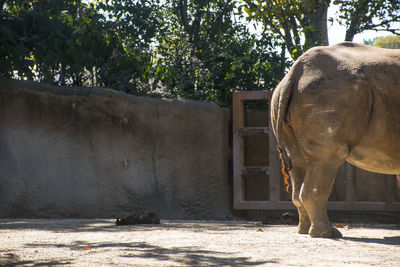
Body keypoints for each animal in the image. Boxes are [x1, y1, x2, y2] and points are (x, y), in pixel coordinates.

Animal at [270, 42, 400, 239]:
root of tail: (295, 72)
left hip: (286, 97)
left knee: (298, 161)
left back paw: (304, 231)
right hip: (329, 94)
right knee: (327, 158)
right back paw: (326, 234)